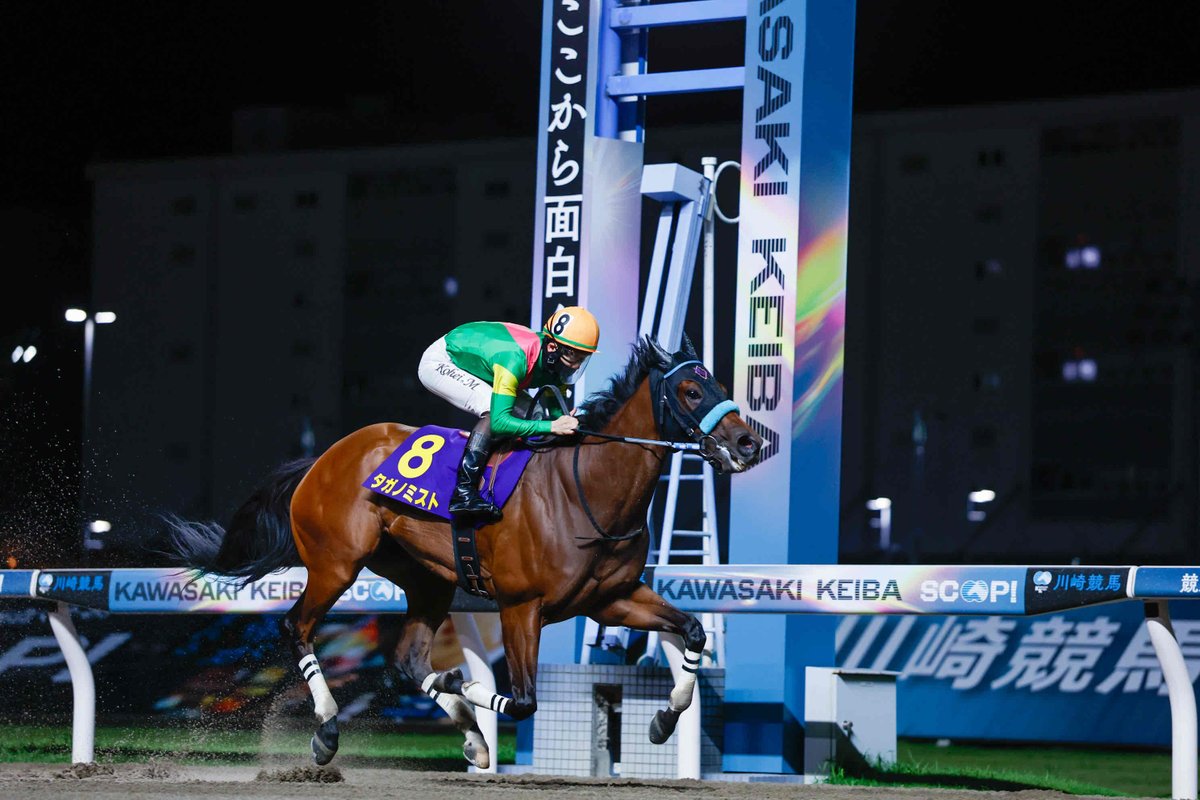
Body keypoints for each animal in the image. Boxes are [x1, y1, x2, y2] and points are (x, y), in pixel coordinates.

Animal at [166, 335, 763, 769]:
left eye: (718, 382)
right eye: (690, 392)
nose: (748, 443)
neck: (585, 490)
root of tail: (323, 458)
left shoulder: (610, 598)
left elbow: (692, 631)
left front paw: (663, 721)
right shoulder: (522, 607)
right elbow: (522, 700)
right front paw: (464, 690)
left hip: (426, 578)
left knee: (406, 660)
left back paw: (464, 729)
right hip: (336, 563)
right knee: (298, 627)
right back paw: (330, 728)